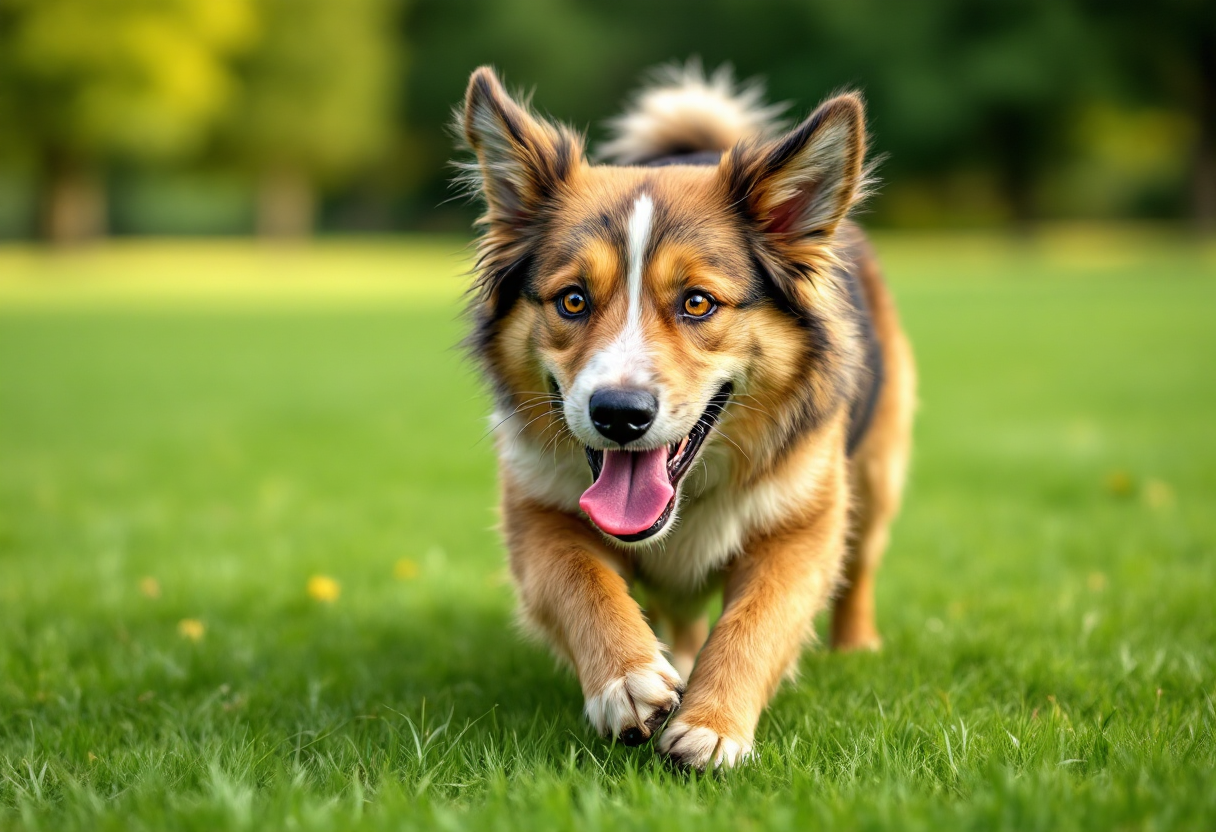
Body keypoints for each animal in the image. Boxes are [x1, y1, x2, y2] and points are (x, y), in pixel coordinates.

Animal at [454, 61, 914, 768]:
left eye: (698, 303)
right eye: (572, 300)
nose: (619, 414)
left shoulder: (802, 525)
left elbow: (758, 619)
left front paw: (713, 723)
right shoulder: (536, 515)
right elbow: (580, 583)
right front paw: (629, 678)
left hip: (877, 475)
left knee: (860, 564)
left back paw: (856, 646)